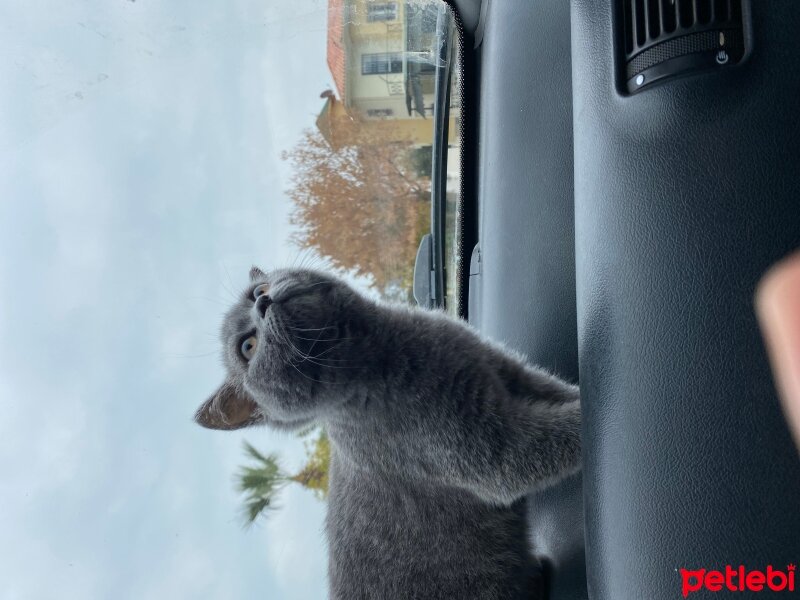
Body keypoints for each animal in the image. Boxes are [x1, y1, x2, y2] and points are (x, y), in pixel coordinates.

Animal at [195, 268, 580, 600]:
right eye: (248, 347)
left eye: (257, 290)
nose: (263, 301)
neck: (382, 350)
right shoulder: (491, 448)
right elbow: (543, 445)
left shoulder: (504, 368)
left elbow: (550, 387)